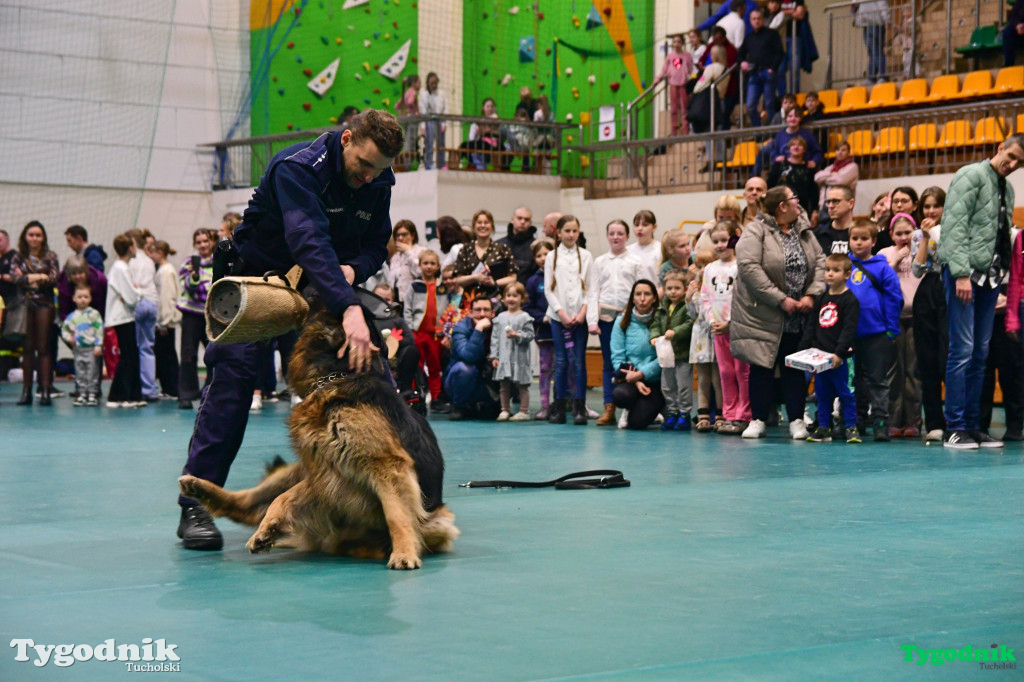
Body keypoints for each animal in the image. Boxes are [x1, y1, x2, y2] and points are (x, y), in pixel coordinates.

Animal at [180, 301, 460, 565]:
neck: (335, 376)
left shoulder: (385, 465)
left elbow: (397, 514)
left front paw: (404, 552)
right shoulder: (323, 472)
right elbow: (282, 498)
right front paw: (269, 526)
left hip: (437, 521)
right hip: (297, 472)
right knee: (247, 501)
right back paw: (200, 488)